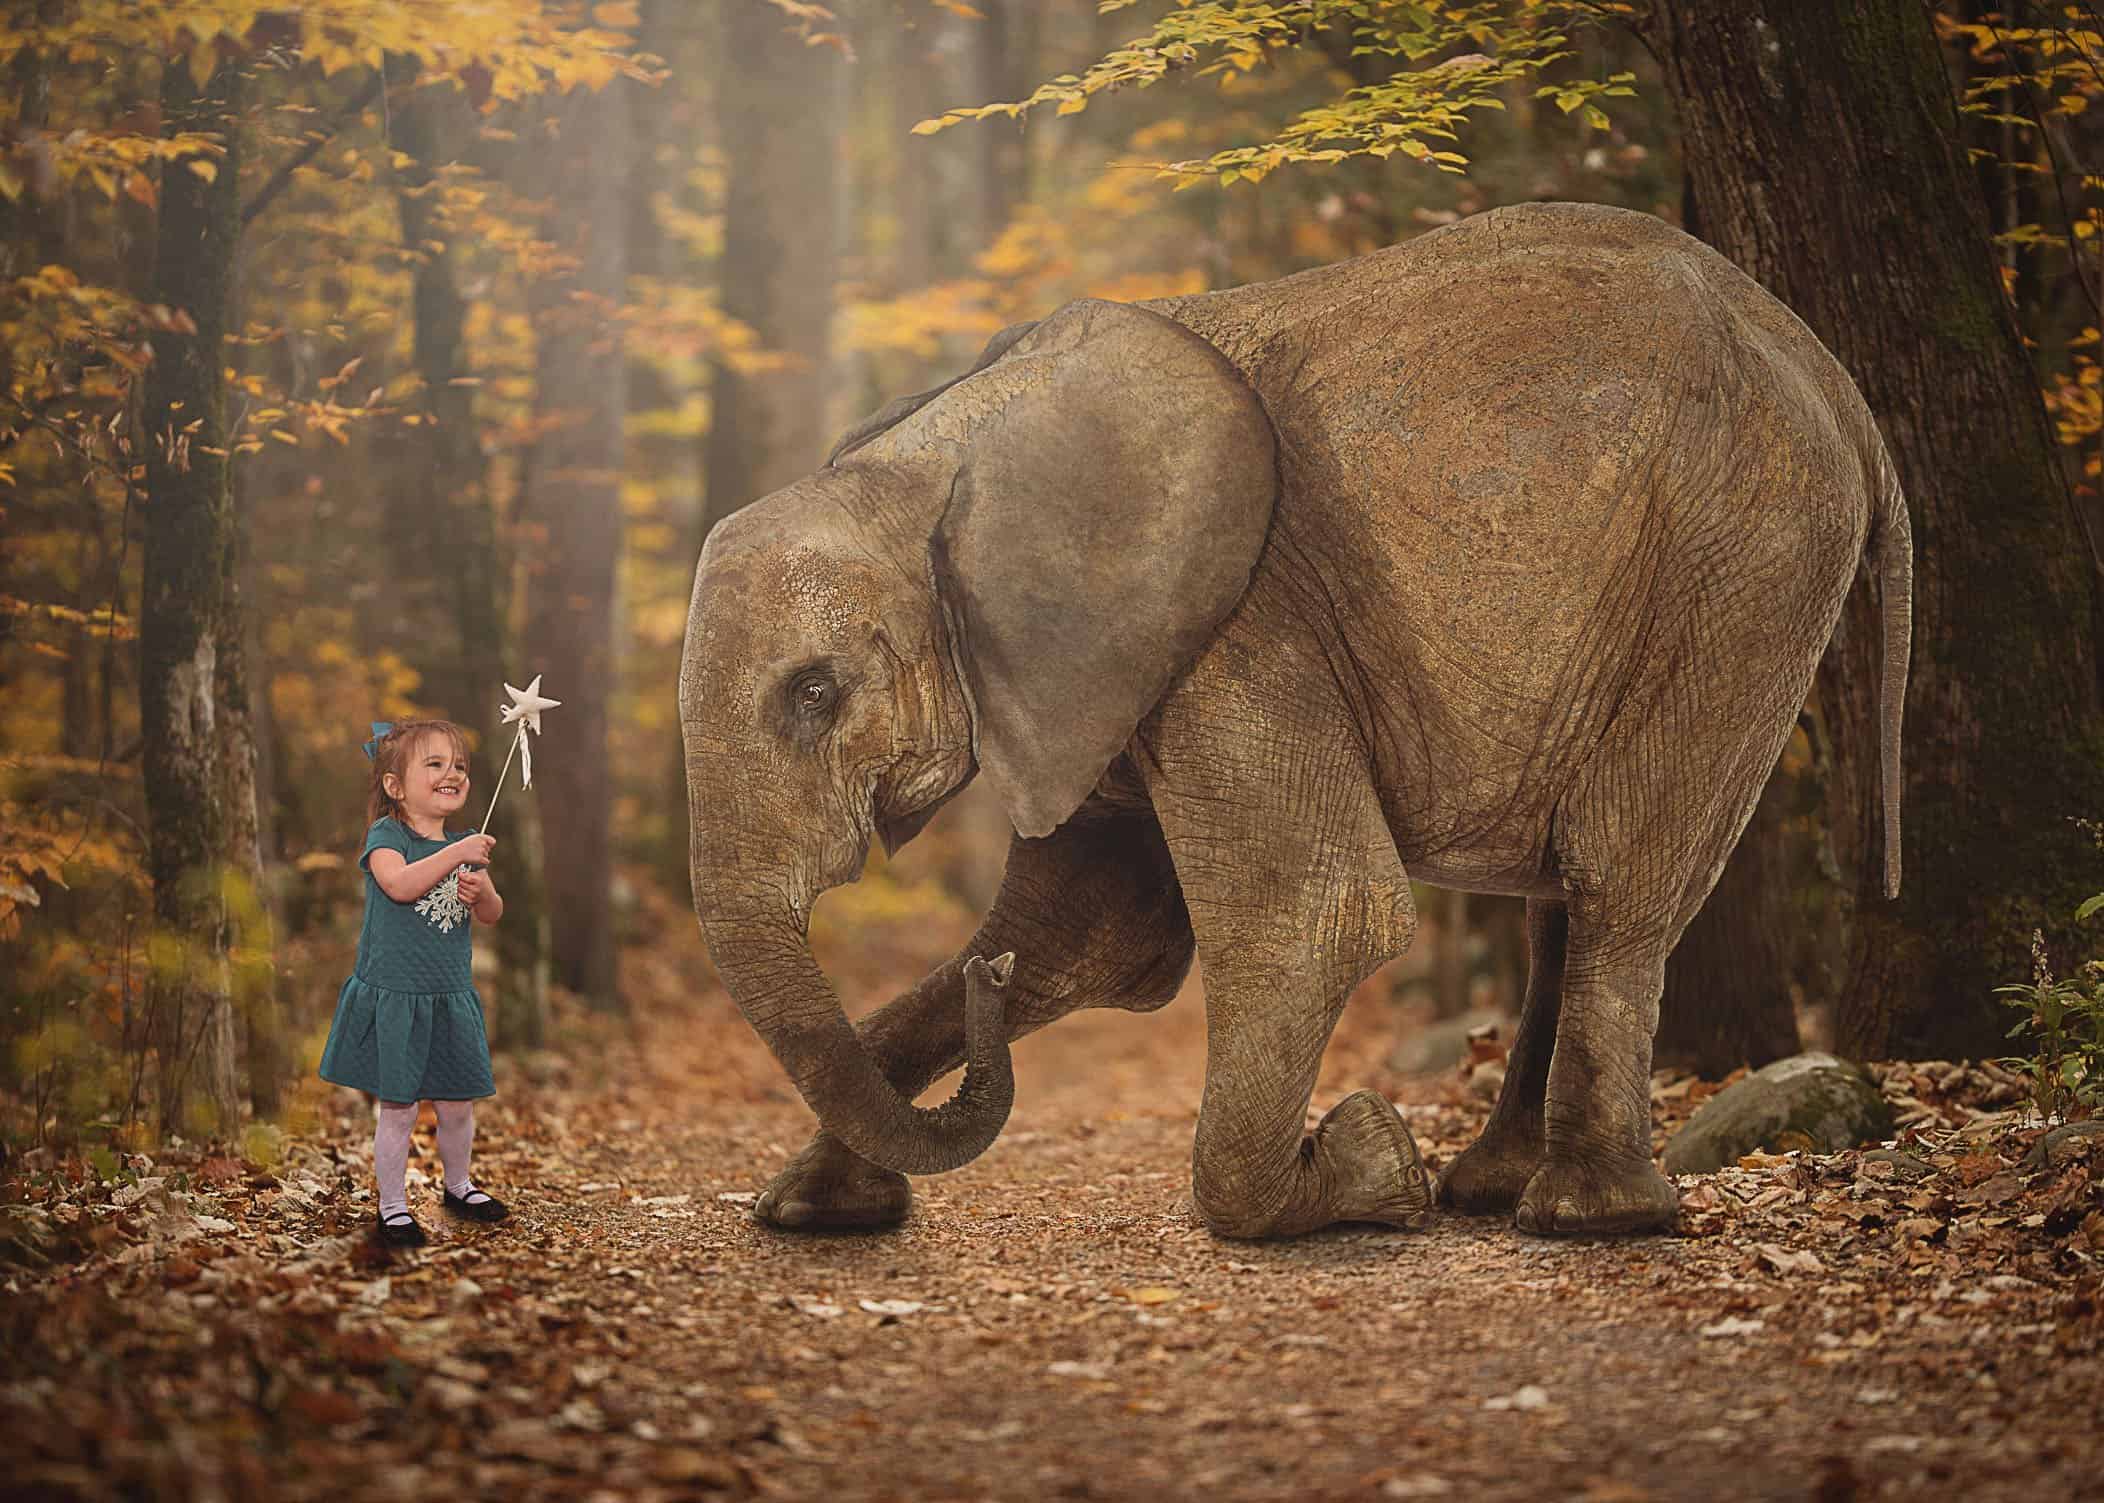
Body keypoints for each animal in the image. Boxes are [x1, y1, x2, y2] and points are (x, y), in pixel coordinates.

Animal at [678, 200, 1910, 1240]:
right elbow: (1087, 934)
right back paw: (1492, 1190)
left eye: (814, 693)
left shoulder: (1243, 625)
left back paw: (1584, 1218)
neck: (938, 449)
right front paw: (811, 1212)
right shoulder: (1099, 670)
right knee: (1565, 892)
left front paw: (1369, 1162)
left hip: (1744, 565)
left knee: (1618, 874)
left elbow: (1316, 918)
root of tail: (1835, 379)